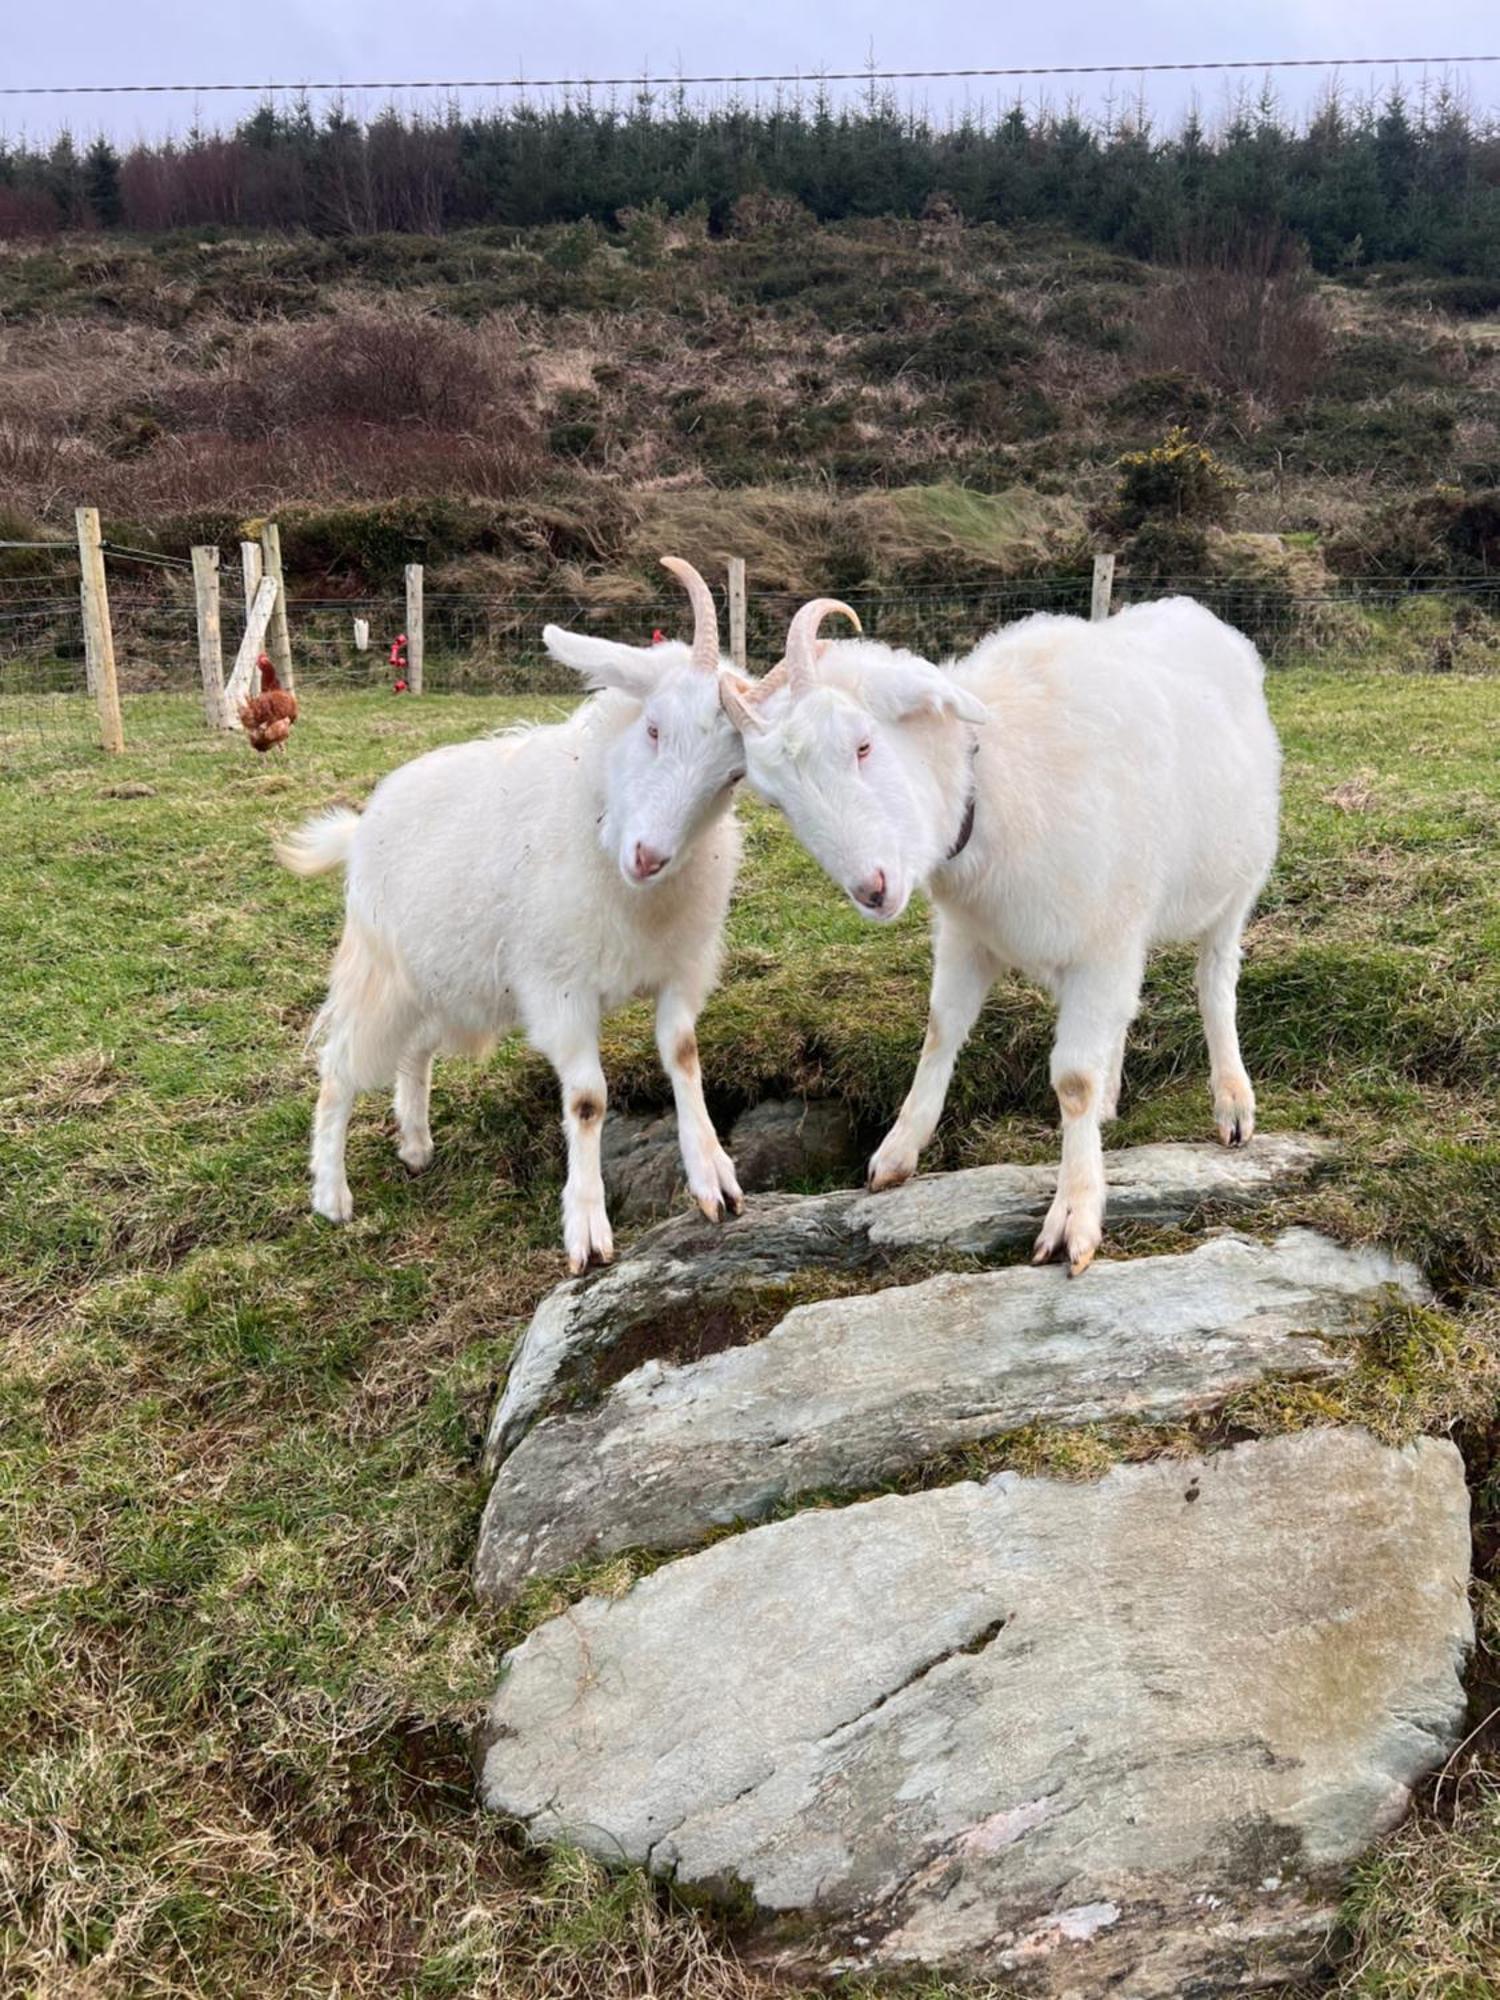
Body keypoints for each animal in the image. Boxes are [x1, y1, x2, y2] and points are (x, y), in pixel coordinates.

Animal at [276, 560, 752, 1264]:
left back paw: (415, 1144)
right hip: (383, 971)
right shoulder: (559, 988)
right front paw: (587, 1228)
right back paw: (332, 1195)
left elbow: (684, 1055)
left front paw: (713, 1177)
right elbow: (587, 1100)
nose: (648, 856)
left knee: (415, 1052)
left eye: (732, 776)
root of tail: (361, 828)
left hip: (442, 977)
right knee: (338, 1068)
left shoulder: (680, 968)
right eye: (653, 728)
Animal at [728, 600, 1280, 1272]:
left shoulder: (1102, 942)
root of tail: (1191, 609)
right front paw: (898, 1151)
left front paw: (1074, 1216)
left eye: (862, 743)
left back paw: (1232, 1101)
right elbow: (942, 1030)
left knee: (1214, 981)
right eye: (778, 799)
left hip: (1237, 880)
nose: (872, 889)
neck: (992, 777)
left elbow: (1073, 1079)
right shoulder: (974, 936)